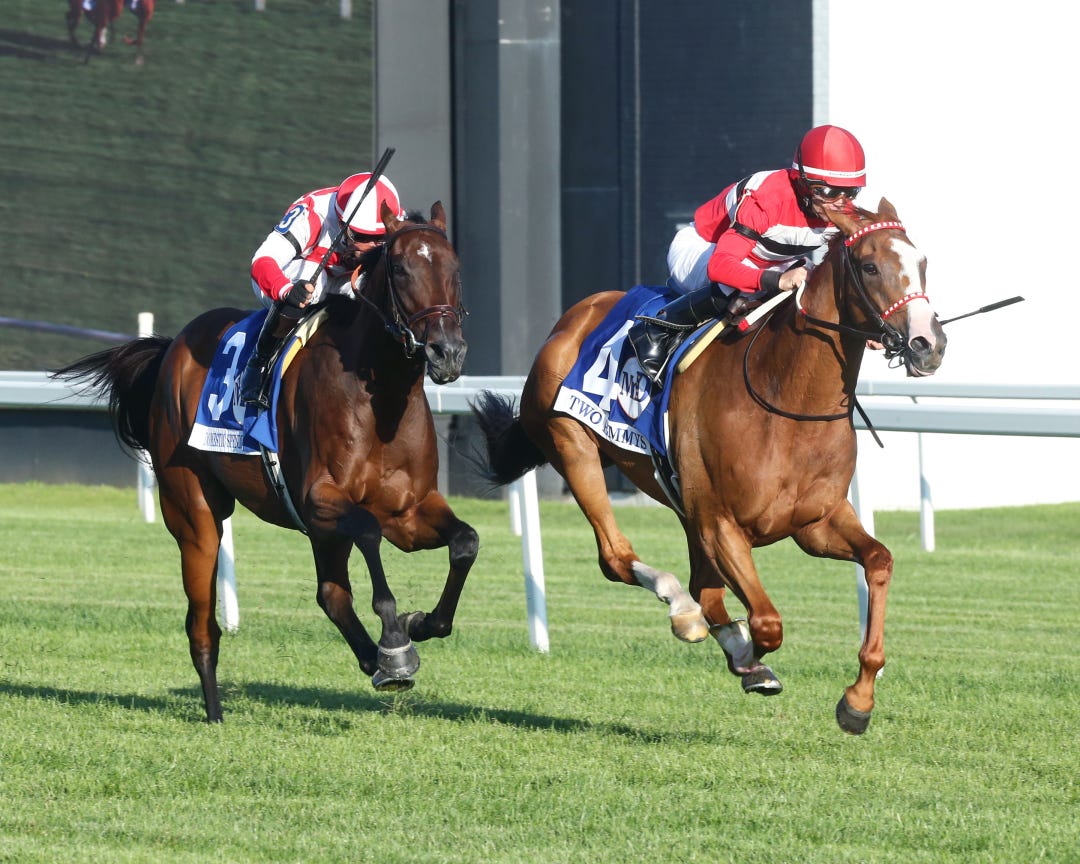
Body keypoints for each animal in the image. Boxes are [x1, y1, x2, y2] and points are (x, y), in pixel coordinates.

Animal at [53, 201, 478, 723]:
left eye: (455, 268)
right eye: (400, 268)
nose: (447, 351)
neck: (381, 402)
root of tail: (172, 348)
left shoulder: (409, 510)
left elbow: (465, 542)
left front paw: (418, 626)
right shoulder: (320, 500)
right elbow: (369, 531)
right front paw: (396, 640)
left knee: (331, 593)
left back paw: (370, 658)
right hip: (195, 513)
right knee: (202, 623)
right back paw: (215, 711)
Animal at [471, 198, 946, 734]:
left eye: (922, 262)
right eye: (869, 266)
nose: (930, 343)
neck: (787, 399)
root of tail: (571, 318)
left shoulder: (815, 522)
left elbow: (879, 562)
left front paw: (858, 700)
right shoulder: (722, 523)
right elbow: (767, 623)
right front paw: (750, 655)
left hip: (681, 498)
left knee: (704, 587)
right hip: (573, 445)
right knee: (618, 557)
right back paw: (682, 610)